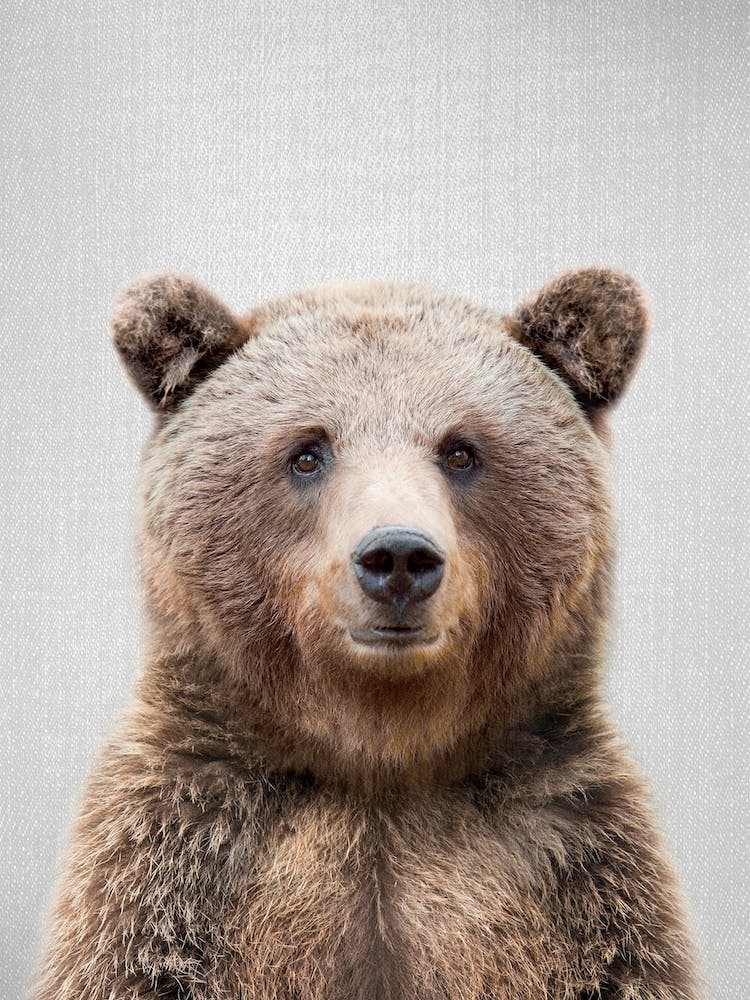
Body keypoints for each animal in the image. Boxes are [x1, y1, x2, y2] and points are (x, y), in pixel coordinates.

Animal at [32, 268, 700, 1000]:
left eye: (460, 450)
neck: (379, 755)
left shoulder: (578, 878)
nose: (398, 557)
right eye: (307, 452)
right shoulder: (174, 869)